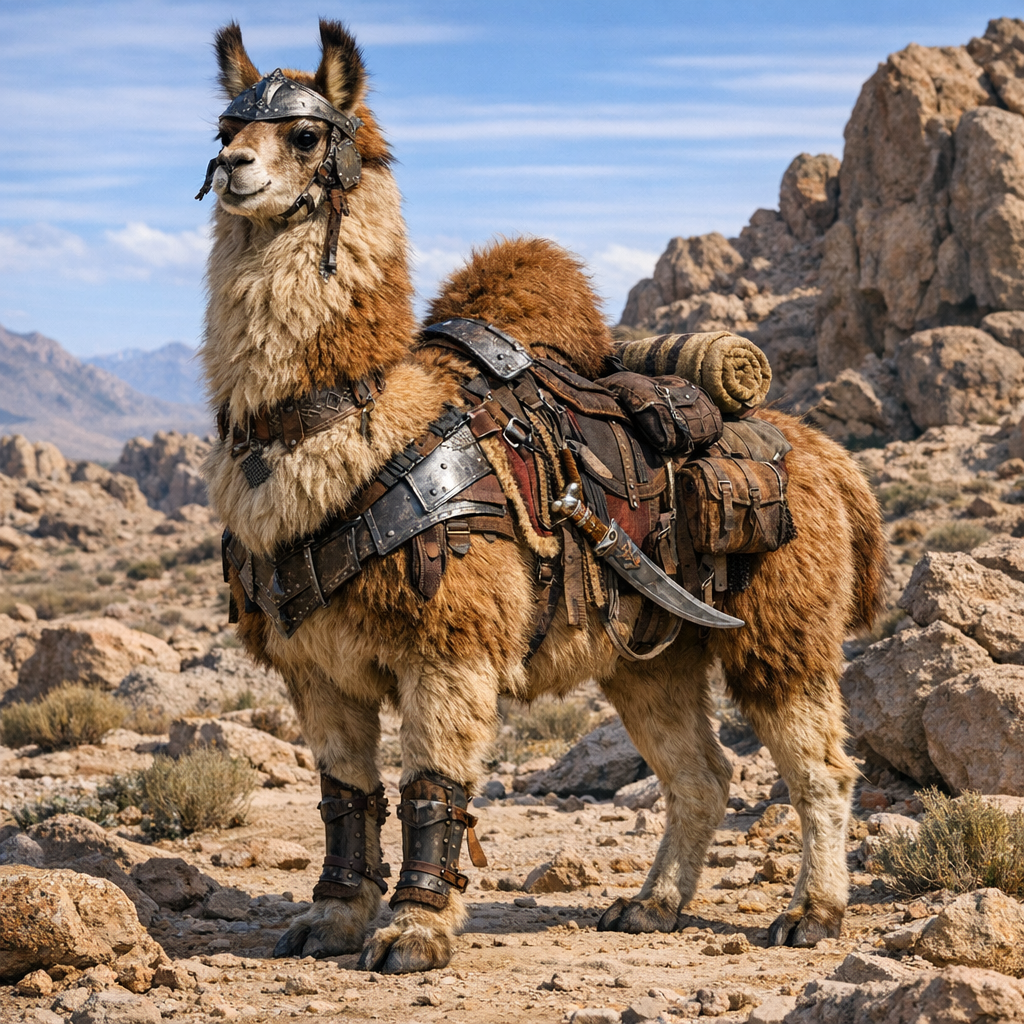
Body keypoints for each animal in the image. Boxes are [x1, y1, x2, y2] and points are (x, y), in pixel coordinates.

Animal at [199, 19, 887, 974]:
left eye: (303, 134)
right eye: (224, 124)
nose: (234, 168)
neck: (351, 427)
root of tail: (828, 458)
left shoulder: (451, 640)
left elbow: (432, 788)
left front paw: (413, 933)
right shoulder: (315, 665)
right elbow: (345, 796)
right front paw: (328, 919)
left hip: (782, 623)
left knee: (820, 765)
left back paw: (811, 914)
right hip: (651, 651)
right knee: (701, 774)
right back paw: (650, 906)